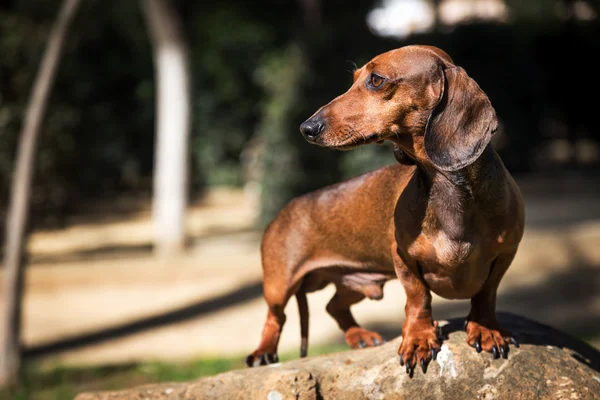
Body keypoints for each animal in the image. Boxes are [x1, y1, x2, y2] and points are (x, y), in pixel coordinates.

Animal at [246, 145, 414, 368]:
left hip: (355, 282)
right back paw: (263, 352)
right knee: (276, 317)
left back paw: (360, 335)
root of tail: (279, 216)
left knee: (333, 307)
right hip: (279, 285)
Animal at [298, 45, 524, 374]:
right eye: (354, 79)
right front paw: (418, 338)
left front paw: (485, 328)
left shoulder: (506, 254)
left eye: (376, 80)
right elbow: (418, 298)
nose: (307, 128)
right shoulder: (403, 258)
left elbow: (487, 293)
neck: (447, 188)